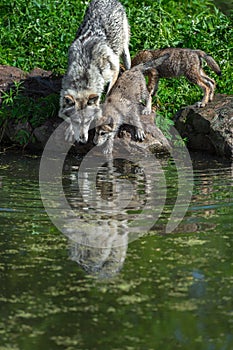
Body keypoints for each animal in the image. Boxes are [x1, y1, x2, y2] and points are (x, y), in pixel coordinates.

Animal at [58, 0, 131, 144]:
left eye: (88, 121)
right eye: (76, 121)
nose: (83, 140)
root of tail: (108, 1)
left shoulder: (114, 71)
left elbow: (108, 93)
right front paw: (70, 130)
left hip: (124, 47)